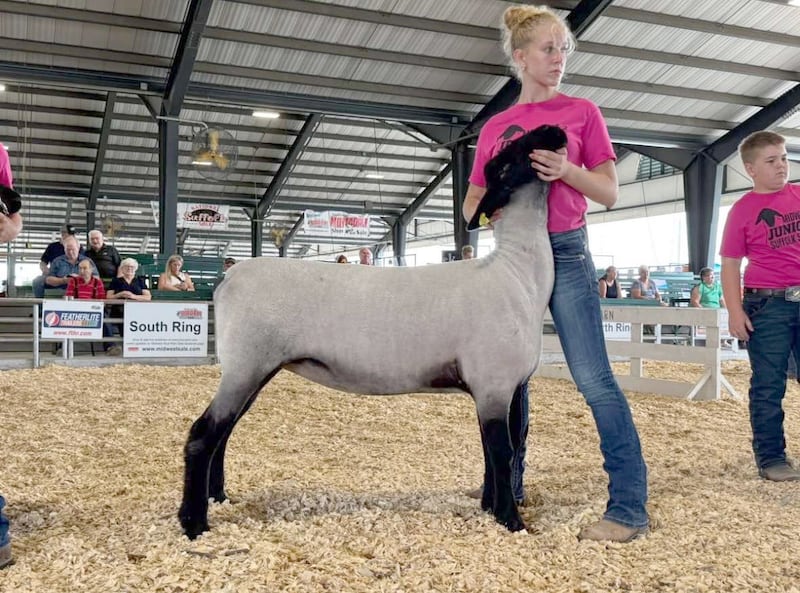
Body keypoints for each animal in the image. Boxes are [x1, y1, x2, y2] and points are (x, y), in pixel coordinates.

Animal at [179, 125, 569, 539]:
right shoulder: (494, 381)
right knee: (203, 434)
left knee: (223, 433)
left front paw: (490, 506)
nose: (554, 130)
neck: (517, 273)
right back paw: (194, 522)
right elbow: (501, 451)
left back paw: (218, 497)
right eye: (508, 160)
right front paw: (511, 520)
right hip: (246, 364)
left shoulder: (496, 388)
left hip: (253, 369)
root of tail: (228, 278)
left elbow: (490, 451)